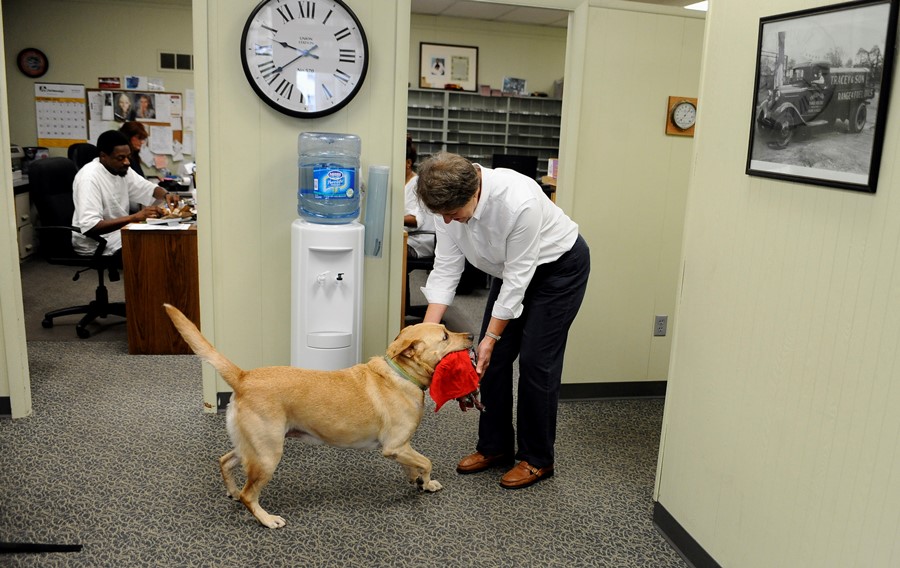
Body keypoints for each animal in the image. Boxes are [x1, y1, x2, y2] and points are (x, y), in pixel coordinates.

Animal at [163, 304, 472, 532]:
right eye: (445, 335)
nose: (470, 335)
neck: (401, 374)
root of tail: (243, 377)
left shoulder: (402, 448)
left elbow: (413, 465)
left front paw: (418, 480)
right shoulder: (394, 446)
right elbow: (426, 461)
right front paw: (427, 481)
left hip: (252, 447)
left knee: (224, 462)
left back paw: (232, 490)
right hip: (268, 454)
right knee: (249, 496)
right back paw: (266, 518)